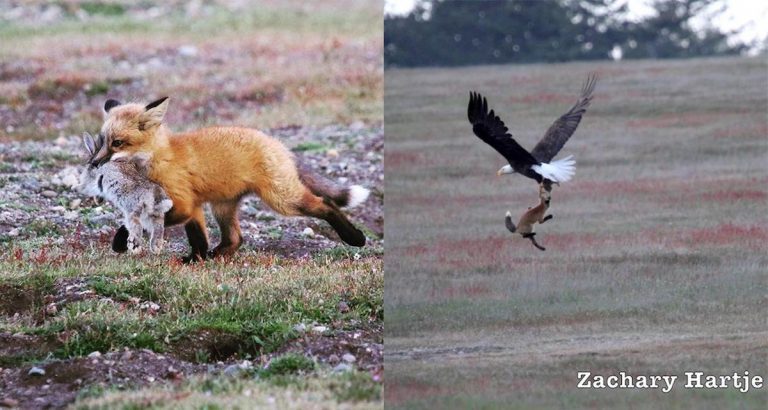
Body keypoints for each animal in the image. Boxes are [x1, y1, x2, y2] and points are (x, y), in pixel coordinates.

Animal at [89, 97, 370, 263]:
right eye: (102, 141)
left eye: (117, 143)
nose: (93, 164)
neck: (160, 158)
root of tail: (277, 143)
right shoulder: (194, 207)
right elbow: (198, 238)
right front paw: (197, 259)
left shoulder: (184, 203)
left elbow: (144, 223)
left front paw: (123, 241)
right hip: (222, 206)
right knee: (235, 239)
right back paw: (216, 255)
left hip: (282, 200)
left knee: (325, 204)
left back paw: (355, 237)